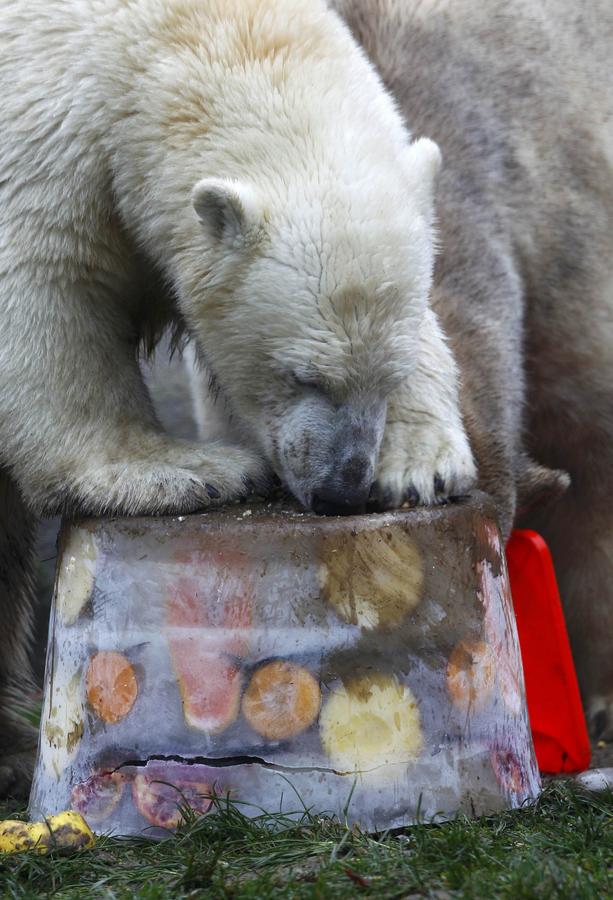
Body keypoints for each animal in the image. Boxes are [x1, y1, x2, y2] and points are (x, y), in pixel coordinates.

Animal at [0, 0, 474, 796]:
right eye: (303, 375)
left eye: (383, 375)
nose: (342, 488)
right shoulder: (46, 133)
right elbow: (47, 280)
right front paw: (176, 470)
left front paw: (421, 463)